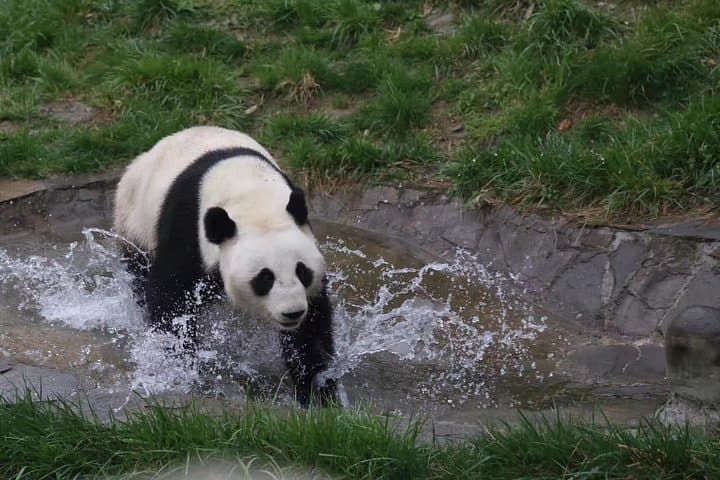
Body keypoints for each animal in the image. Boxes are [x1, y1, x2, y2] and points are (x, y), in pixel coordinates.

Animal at [113, 126, 336, 406]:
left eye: (302, 271)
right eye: (265, 278)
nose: (292, 312)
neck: (253, 198)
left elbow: (310, 327)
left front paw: (316, 389)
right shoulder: (188, 230)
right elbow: (170, 300)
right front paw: (182, 367)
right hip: (135, 223)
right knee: (140, 273)